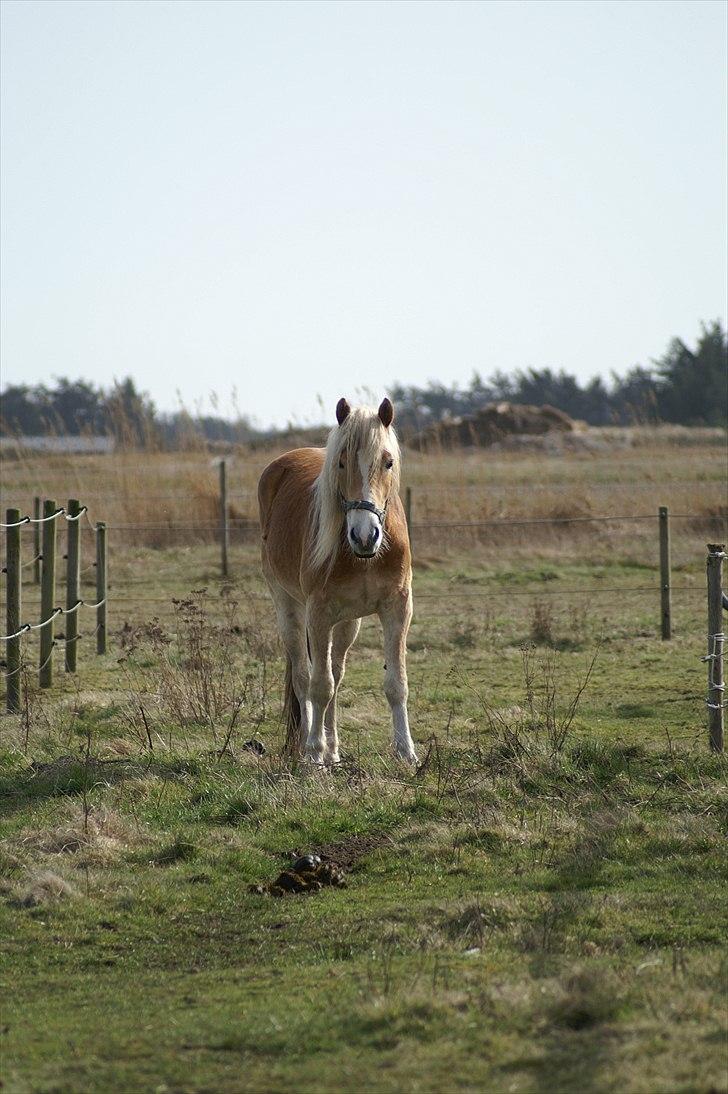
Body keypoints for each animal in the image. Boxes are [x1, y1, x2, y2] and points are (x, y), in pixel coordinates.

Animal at [258, 398, 418, 765]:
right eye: (341, 462)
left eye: (388, 462)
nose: (364, 535)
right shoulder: (318, 613)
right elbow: (319, 686)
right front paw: (314, 753)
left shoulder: (398, 608)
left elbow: (395, 683)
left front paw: (406, 752)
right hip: (289, 606)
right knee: (305, 677)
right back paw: (308, 747)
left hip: (347, 622)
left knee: (335, 671)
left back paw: (333, 750)